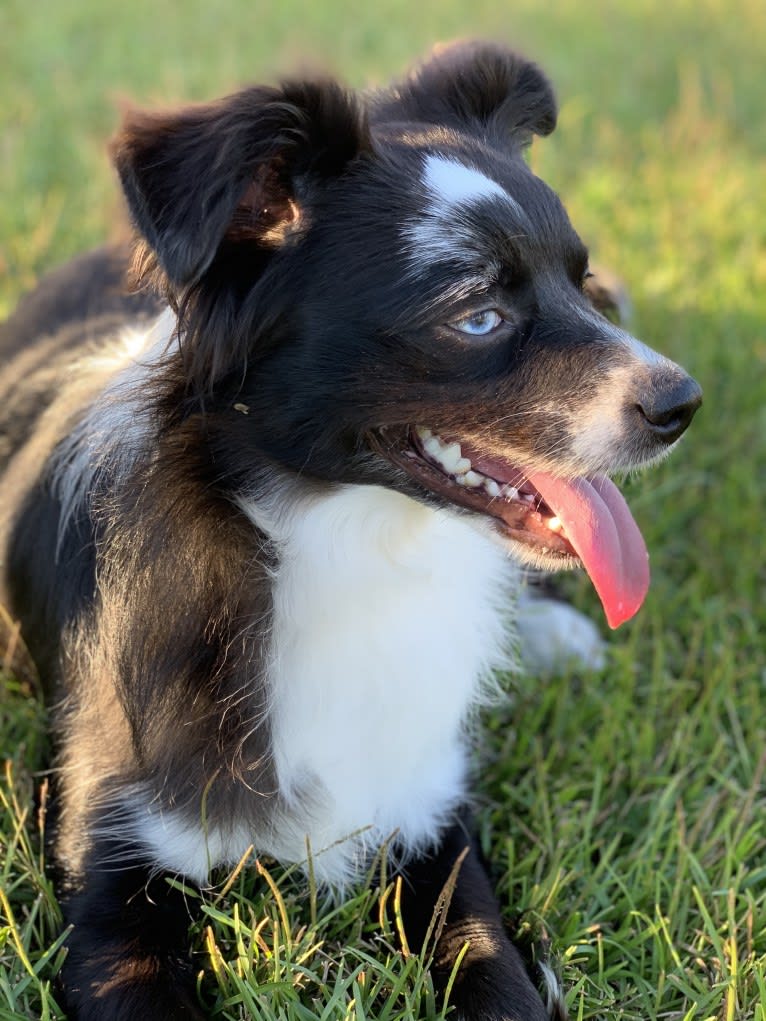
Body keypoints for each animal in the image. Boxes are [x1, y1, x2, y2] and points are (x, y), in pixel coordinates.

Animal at [0, 43, 706, 1021]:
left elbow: (497, 973)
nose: (683, 405)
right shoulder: (111, 875)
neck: (350, 543)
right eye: (476, 314)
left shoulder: (433, 815)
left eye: (579, 277)